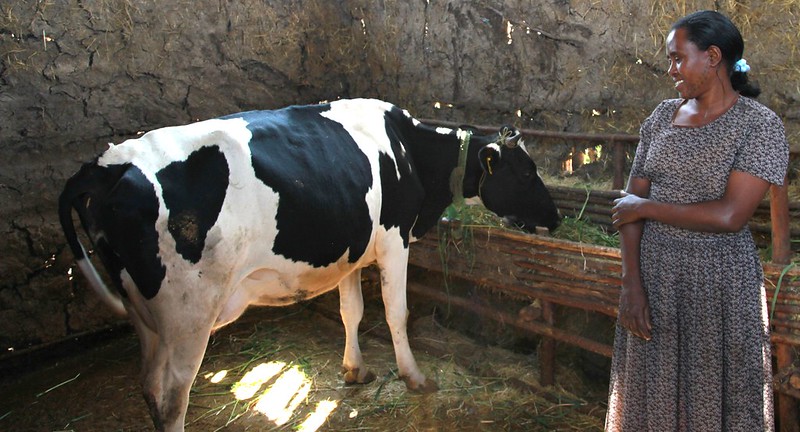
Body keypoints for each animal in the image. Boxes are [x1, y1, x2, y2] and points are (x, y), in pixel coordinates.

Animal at [57, 98, 564, 432]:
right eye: (526, 172)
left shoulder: (352, 252)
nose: (557, 218)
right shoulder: (393, 239)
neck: (410, 152)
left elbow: (351, 311)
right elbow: (396, 313)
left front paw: (355, 370)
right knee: (171, 397)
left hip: (144, 313)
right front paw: (415, 377)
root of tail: (105, 165)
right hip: (188, 312)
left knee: (148, 384)